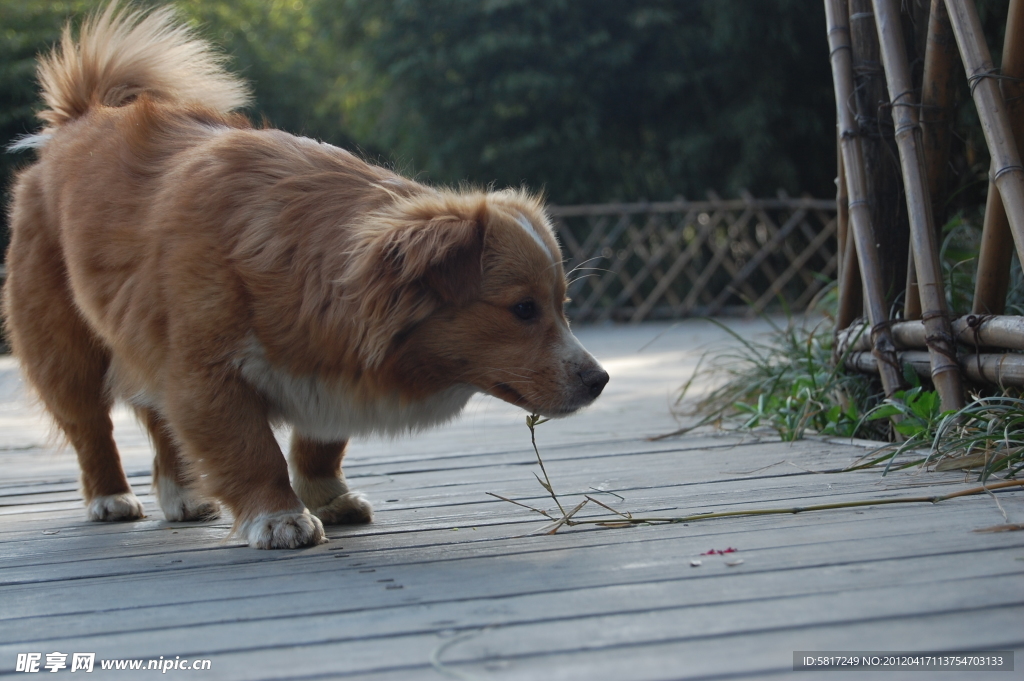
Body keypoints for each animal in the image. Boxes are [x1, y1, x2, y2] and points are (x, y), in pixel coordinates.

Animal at [2, 3, 606, 548]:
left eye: (562, 306)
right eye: (523, 309)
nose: (599, 380)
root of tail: (80, 117)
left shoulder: (326, 369)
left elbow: (320, 443)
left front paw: (327, 496)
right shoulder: (205, 374)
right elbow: (252, 450)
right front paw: (280, 517)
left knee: (157, 420)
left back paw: (183, 494)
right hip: (68, 351)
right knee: (91, 427)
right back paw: (110, 496)